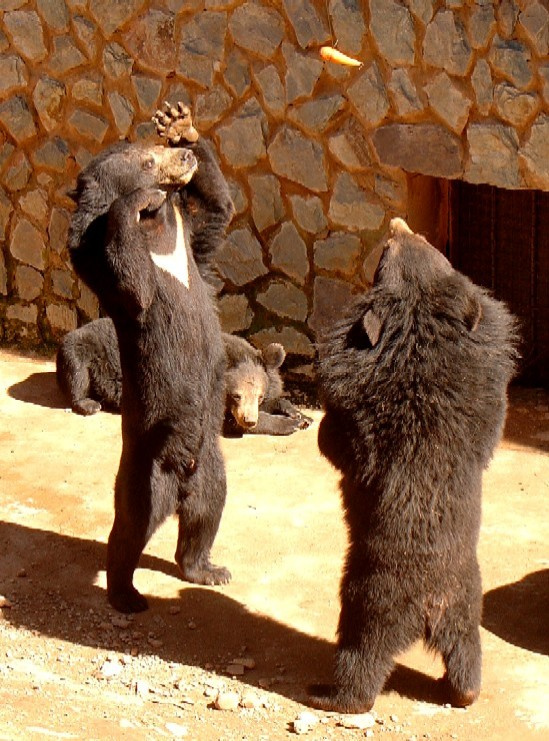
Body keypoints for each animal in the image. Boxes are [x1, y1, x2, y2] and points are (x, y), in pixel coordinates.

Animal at [56, 318, 312, 435]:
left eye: (258, 396)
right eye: (237, 395)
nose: (249, 419)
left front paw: (300, 414)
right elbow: (224, 422)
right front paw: (289, 424)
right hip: (86, 349)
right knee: (77, 370)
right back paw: (89, 404)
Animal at [68, 103, 235, 614]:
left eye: (158, 145)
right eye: (146, 160)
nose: (184, 158)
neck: (159, 227)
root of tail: (181, 481)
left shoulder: (193, 246)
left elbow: (219, 212)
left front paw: (181, 123)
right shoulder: (102, 261)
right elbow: (133, 283)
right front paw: (135, 199)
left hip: (211, 463)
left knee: (208, 511)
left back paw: (209, 569)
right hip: (146, 466)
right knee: (130, 527)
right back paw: (126, 595)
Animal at [309, 218, 518, 713]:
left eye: (388, 250)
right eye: (421, 243)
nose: (398, 221)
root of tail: (430, 607)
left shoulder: (362, 411)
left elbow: (342, 444)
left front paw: (321, 431)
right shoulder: (484, 396)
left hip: (363, 598)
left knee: (361, 657)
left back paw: (329, 695)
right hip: (468, 609)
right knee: (467, 653)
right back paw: (463, 693)